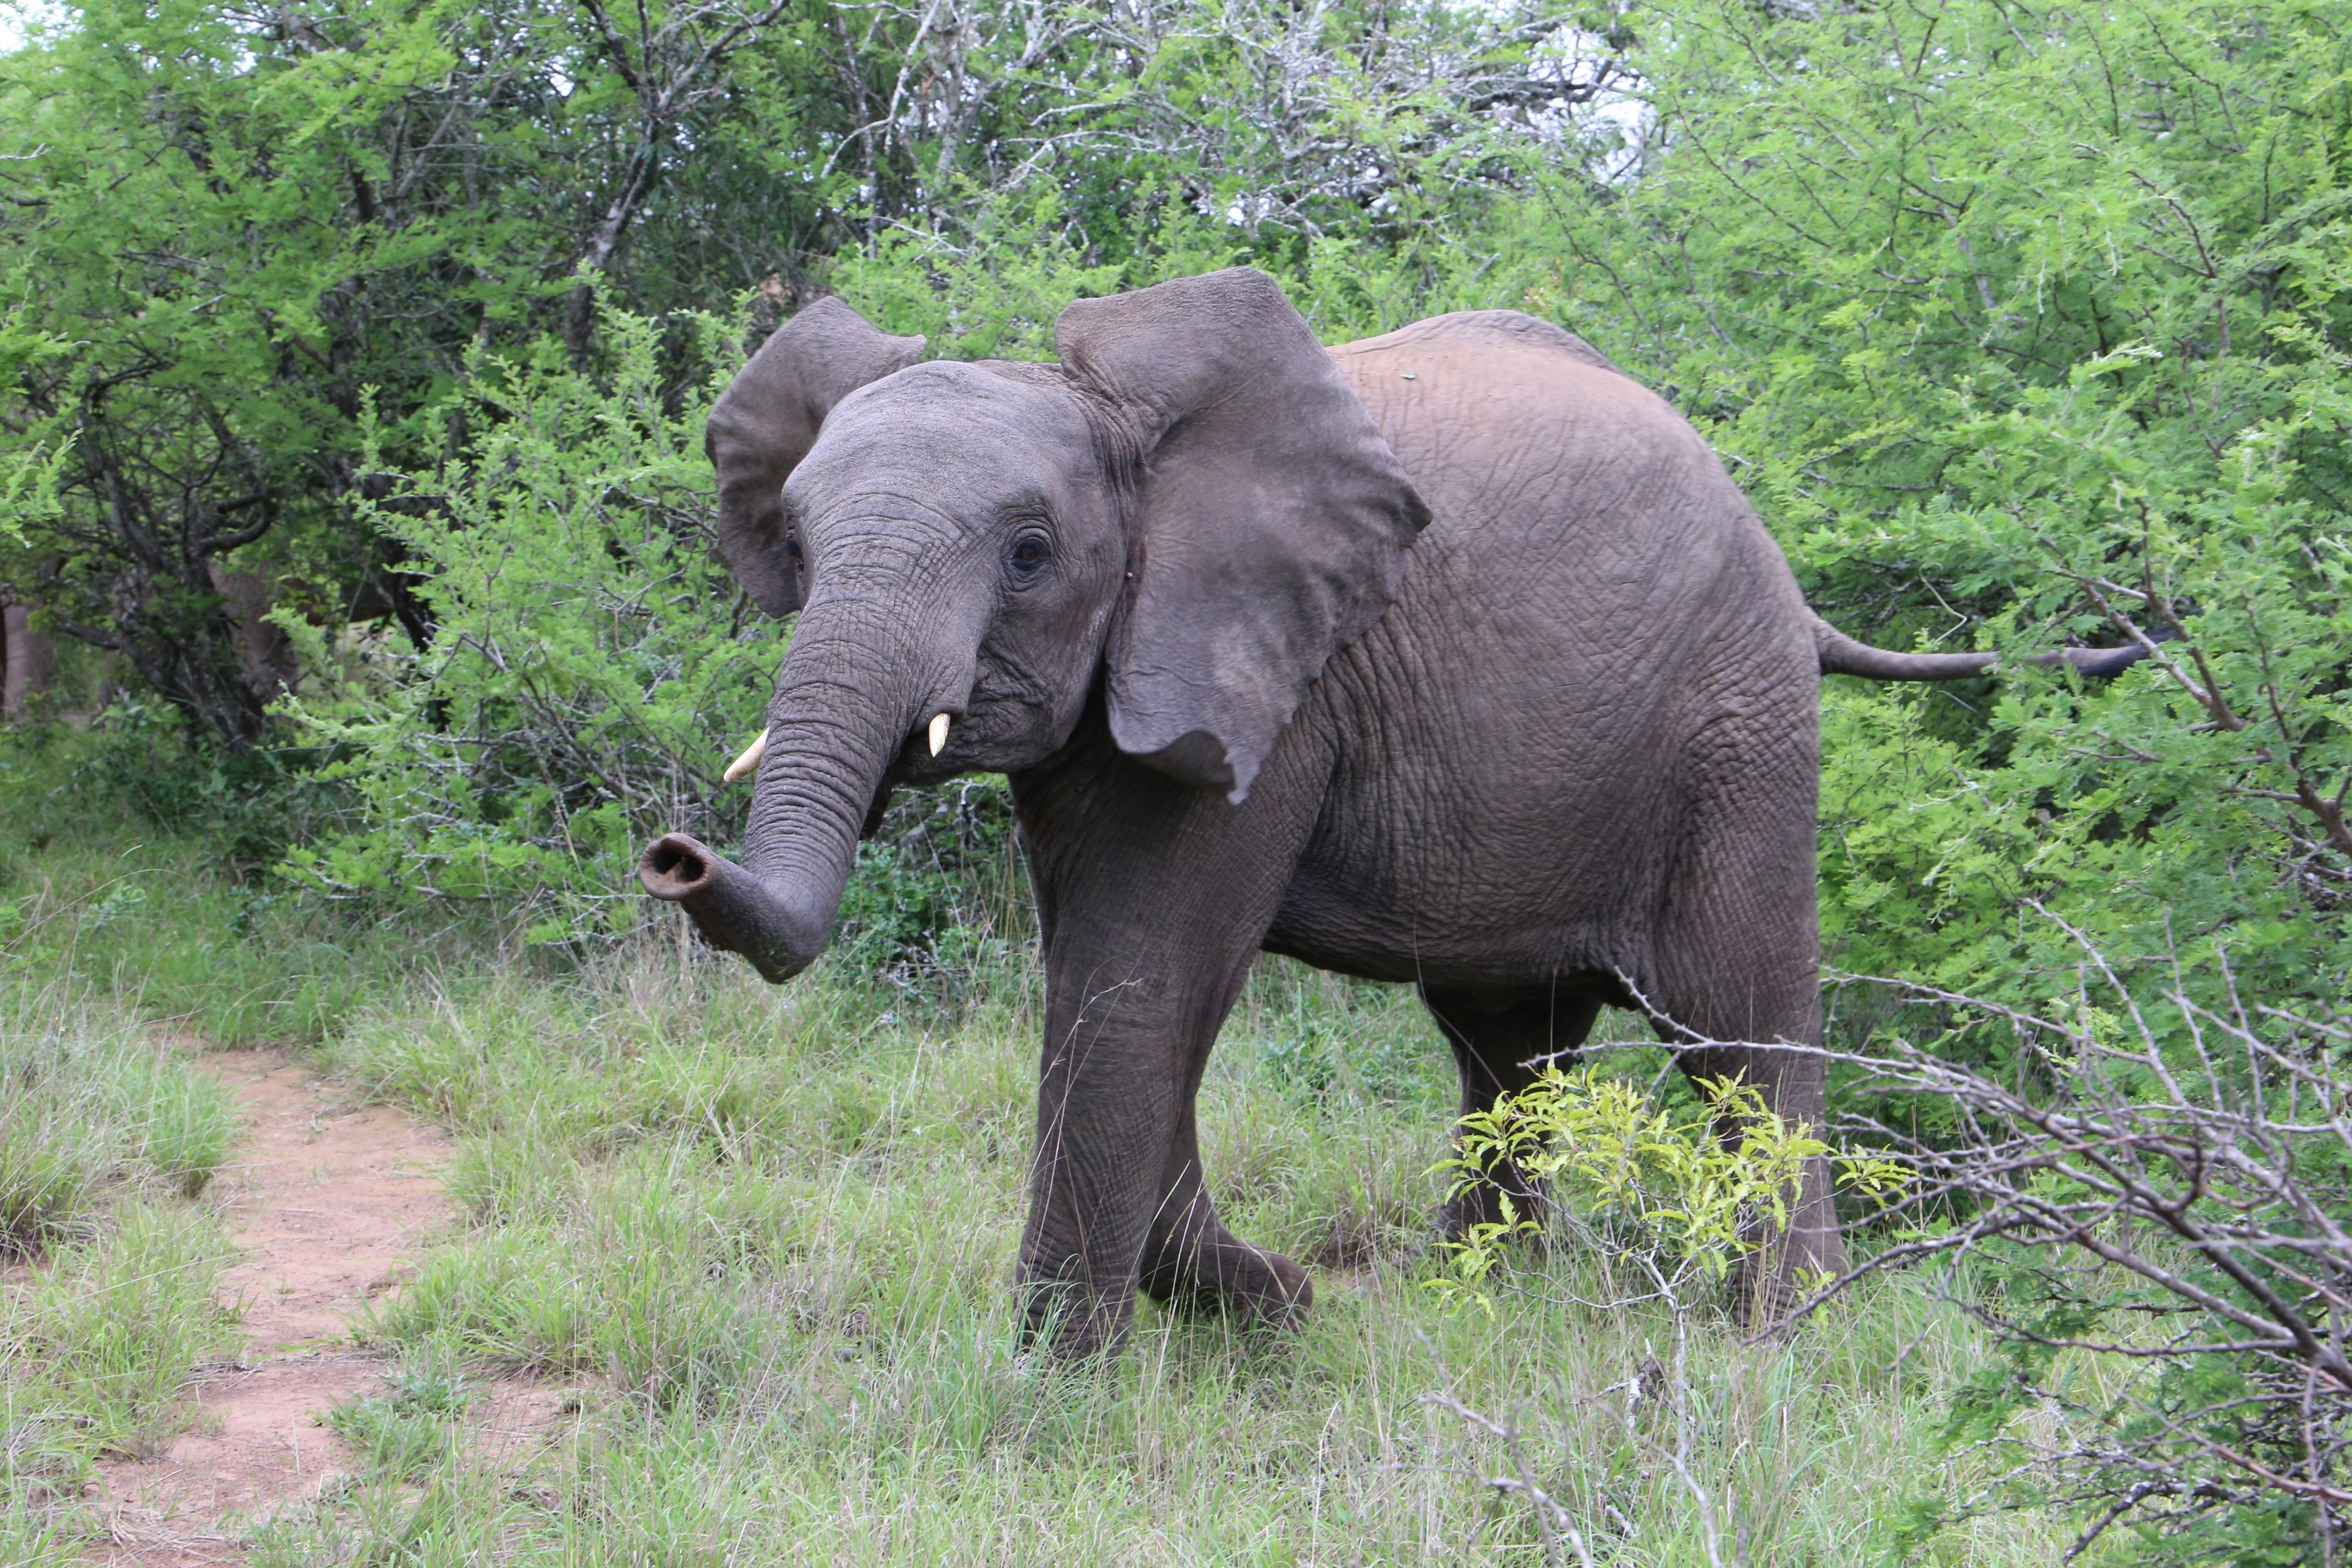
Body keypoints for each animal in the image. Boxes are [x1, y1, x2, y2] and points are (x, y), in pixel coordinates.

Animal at [640, 268, 2144, 1357]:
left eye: (1027, 553)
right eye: (797, 545)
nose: (673, 858)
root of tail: (1783, 565)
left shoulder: (1278, 680)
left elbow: (1141, 977)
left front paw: (1063, 1377)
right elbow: (1116, 984)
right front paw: (1266, 1305)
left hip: (1741, 732)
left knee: (1742, 1027)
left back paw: (1783, 1341)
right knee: (1509, 1044)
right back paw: (1472, 1296)